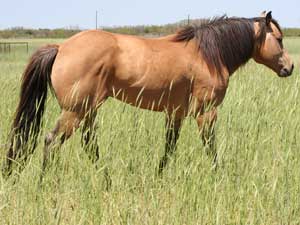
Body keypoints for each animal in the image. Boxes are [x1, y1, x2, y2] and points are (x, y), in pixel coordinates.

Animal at [2, 11, 292, 177]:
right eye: (279, 39)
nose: (289, 67)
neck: (208, 55)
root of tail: (61, 47)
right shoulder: (206, 113)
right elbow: (210, 147)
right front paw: (219, 176)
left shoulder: (175, 114)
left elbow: (169, 147)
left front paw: (158, 176)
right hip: (75, 111)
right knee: (51, 141)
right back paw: (44, 183)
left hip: (88, 110)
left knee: (89, 145)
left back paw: (107, 181)